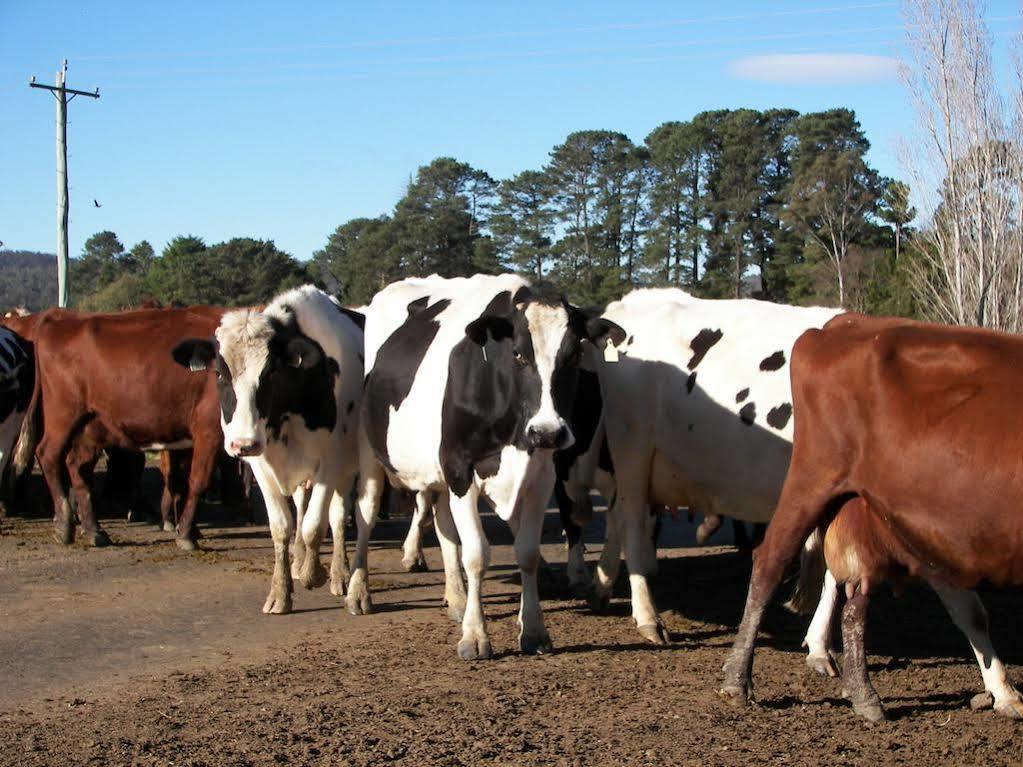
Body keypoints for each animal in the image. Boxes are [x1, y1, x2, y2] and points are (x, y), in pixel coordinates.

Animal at [32, 302, 226, 548]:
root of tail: (62, 316)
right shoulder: (209, 429)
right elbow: (199, 479)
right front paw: (186, 535)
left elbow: (182, 480)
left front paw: (186, 527)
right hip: (64, 414)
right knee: (48, 455)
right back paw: (65, 524)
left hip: (92, 425)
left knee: (78, 466)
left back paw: (94, 530)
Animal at [173, 286, 366, 617]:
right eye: (219, 374)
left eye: (271, 372)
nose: (242, 442)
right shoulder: (260, 464)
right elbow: (281, 526)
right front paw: (281, 591)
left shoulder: (330, 462)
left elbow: (316, 523)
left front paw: (314, 573)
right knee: (302, 505)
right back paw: (300, 560)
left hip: (347, 466)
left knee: (338, 514)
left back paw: (339, 573)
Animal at [351, 276, 621, 662]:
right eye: (518, 353)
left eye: (573, 355)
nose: (548, 431)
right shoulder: (460, 468)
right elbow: (477, 554)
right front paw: (475, 636)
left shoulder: (541, 475)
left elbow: (527, 552)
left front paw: (534, 630)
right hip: (371, 452)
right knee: (367, 512)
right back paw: (358, 591)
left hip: (439, 472)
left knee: (444, 527)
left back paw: (457, 598)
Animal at [720, 312, 1023, 719]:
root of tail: (844, 322)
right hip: (813, 480)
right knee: (771, 563)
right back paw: (738, 681)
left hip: (913, 528)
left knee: (870, 602)